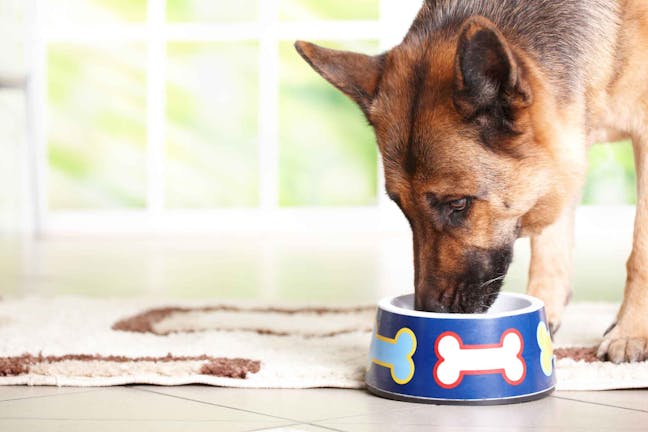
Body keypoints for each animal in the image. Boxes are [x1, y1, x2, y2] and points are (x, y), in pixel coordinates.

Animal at [296, 0, 648, 364]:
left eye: (458, 203)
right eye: (403, 208)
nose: (428, 311)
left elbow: (640, 253)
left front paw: (630, 332)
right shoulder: (564, 144)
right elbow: (550, 246)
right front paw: (545, 316)